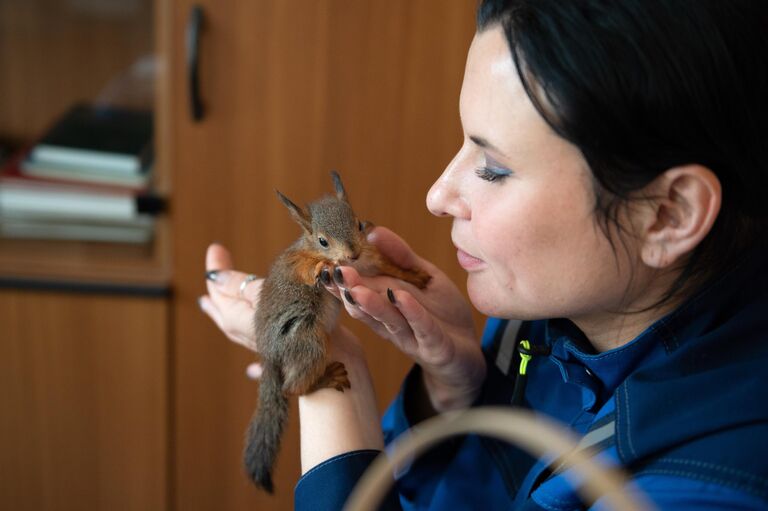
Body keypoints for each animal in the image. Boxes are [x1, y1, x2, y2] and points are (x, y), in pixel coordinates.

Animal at [244, 171, 428, 492]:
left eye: (358, 223)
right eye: (322, 240)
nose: (352, 254)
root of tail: (269, 356)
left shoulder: (370, 259)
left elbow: (391, 268)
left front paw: (413, 275)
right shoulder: (298, 262)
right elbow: (306, 267)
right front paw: (320, 267)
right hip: (307, 340)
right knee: (292, 388)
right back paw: (326, 378)